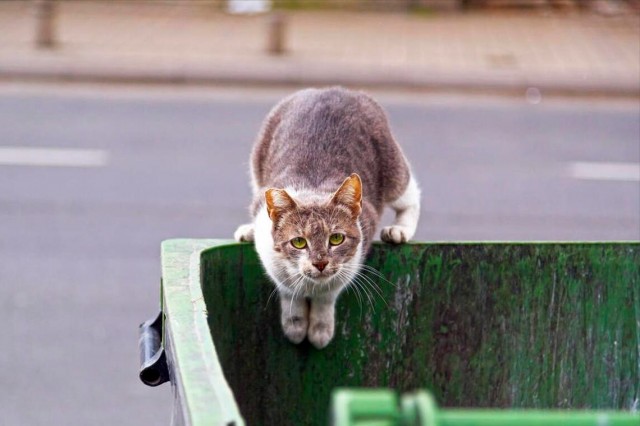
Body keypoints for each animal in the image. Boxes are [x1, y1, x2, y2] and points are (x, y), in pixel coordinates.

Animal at [235, 87, 420, 350]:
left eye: (336, 239)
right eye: (299, 242)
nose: (320, 263)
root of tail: (336, 89)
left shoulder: (354, 254)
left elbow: (327, 296)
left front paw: (320, 329)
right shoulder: (272, 257)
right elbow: (288, 291)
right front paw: (295, 325)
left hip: (391, 166)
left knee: (410, 194)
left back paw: (399, 230)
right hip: (258, 160)